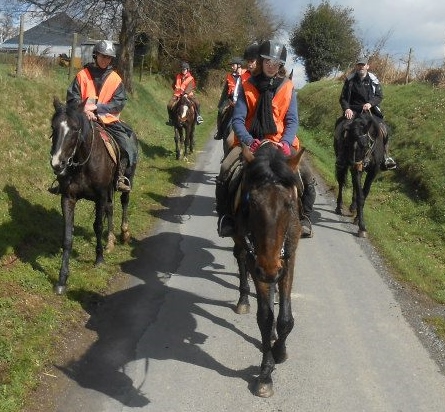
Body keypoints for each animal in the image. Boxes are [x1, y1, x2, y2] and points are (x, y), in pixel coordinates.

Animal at [49, 98, 136, 294]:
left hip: (126, 180)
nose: (57, 163)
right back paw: (110, 241)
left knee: (124, 202)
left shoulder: (100, 196)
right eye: (53, 127)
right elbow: (68, 236)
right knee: (110, 209)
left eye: (75, 128)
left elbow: (97, 226)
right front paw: (62, 280)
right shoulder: (68, 198)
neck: (83, 163)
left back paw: (124, 233)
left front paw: (99, 260)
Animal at [231, 142, 304, 396]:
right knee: (241, 258)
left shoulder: (288, 260)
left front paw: (280, 350)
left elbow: (285, 319)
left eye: (289, 204)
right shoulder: (258, 265)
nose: (270, 268)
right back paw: (243, 299)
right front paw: (265, 373)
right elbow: (264, 317)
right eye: (252, 203)